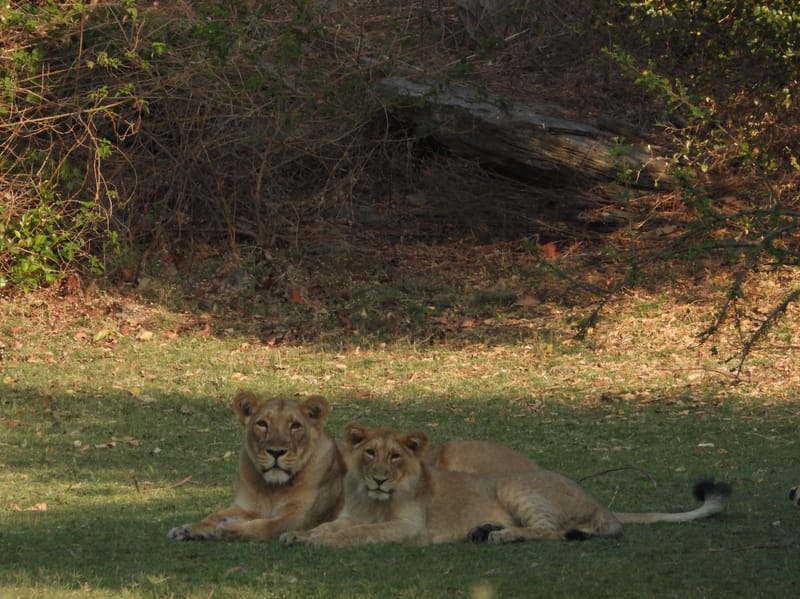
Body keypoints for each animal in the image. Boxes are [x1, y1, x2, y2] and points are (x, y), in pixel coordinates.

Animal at [167, 392, 539, 542]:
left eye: (295, 426)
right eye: (262, 424)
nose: (275, 451)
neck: (270, 486)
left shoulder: (299, 517)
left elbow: (264, 527)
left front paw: (226, 531)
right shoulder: (244, 505)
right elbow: (213, 515)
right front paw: (189, 528)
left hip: (456, 457)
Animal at [280, 425, 732, 548]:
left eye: (395, 457)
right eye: (370, 453)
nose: (377, 477)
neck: (372, 499)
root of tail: (601, 503)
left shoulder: (411, 529)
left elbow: (359, 534)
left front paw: (317, 541)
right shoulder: (351, 514)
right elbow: (334, 525)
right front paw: (299, 535)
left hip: (515, 485)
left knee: (553, 531)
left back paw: (501, 536)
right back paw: (484, 530)